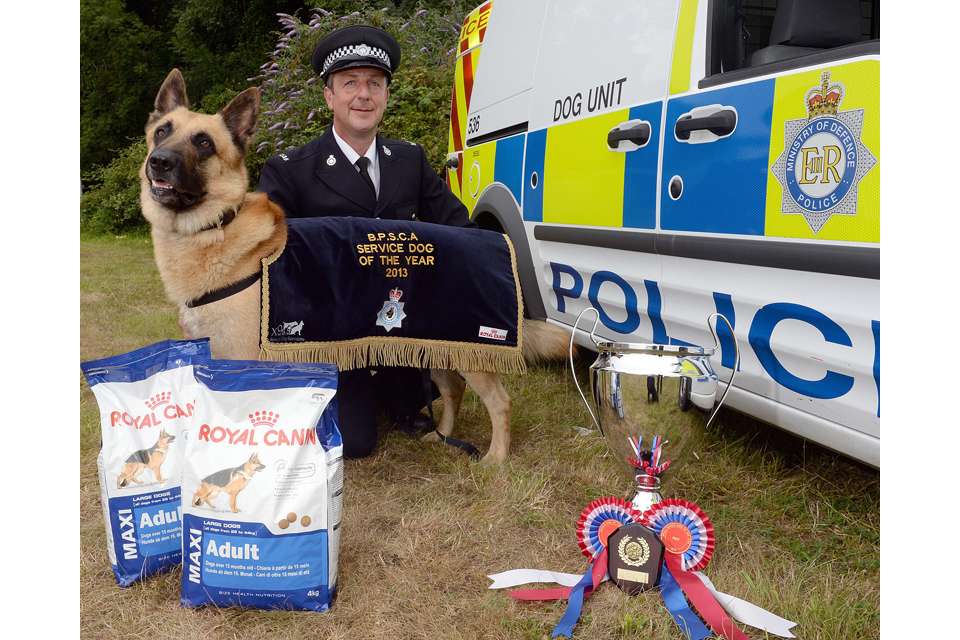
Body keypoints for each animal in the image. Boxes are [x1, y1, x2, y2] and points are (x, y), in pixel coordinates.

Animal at [140, 69, 572, 460]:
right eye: (162, 132)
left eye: (204, 142)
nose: (159, 162)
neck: (217, 227)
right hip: (438, 347)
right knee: (452, 389)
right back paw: (443, 436)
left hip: (470, 352)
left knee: (499, 401)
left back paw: (495, 459)